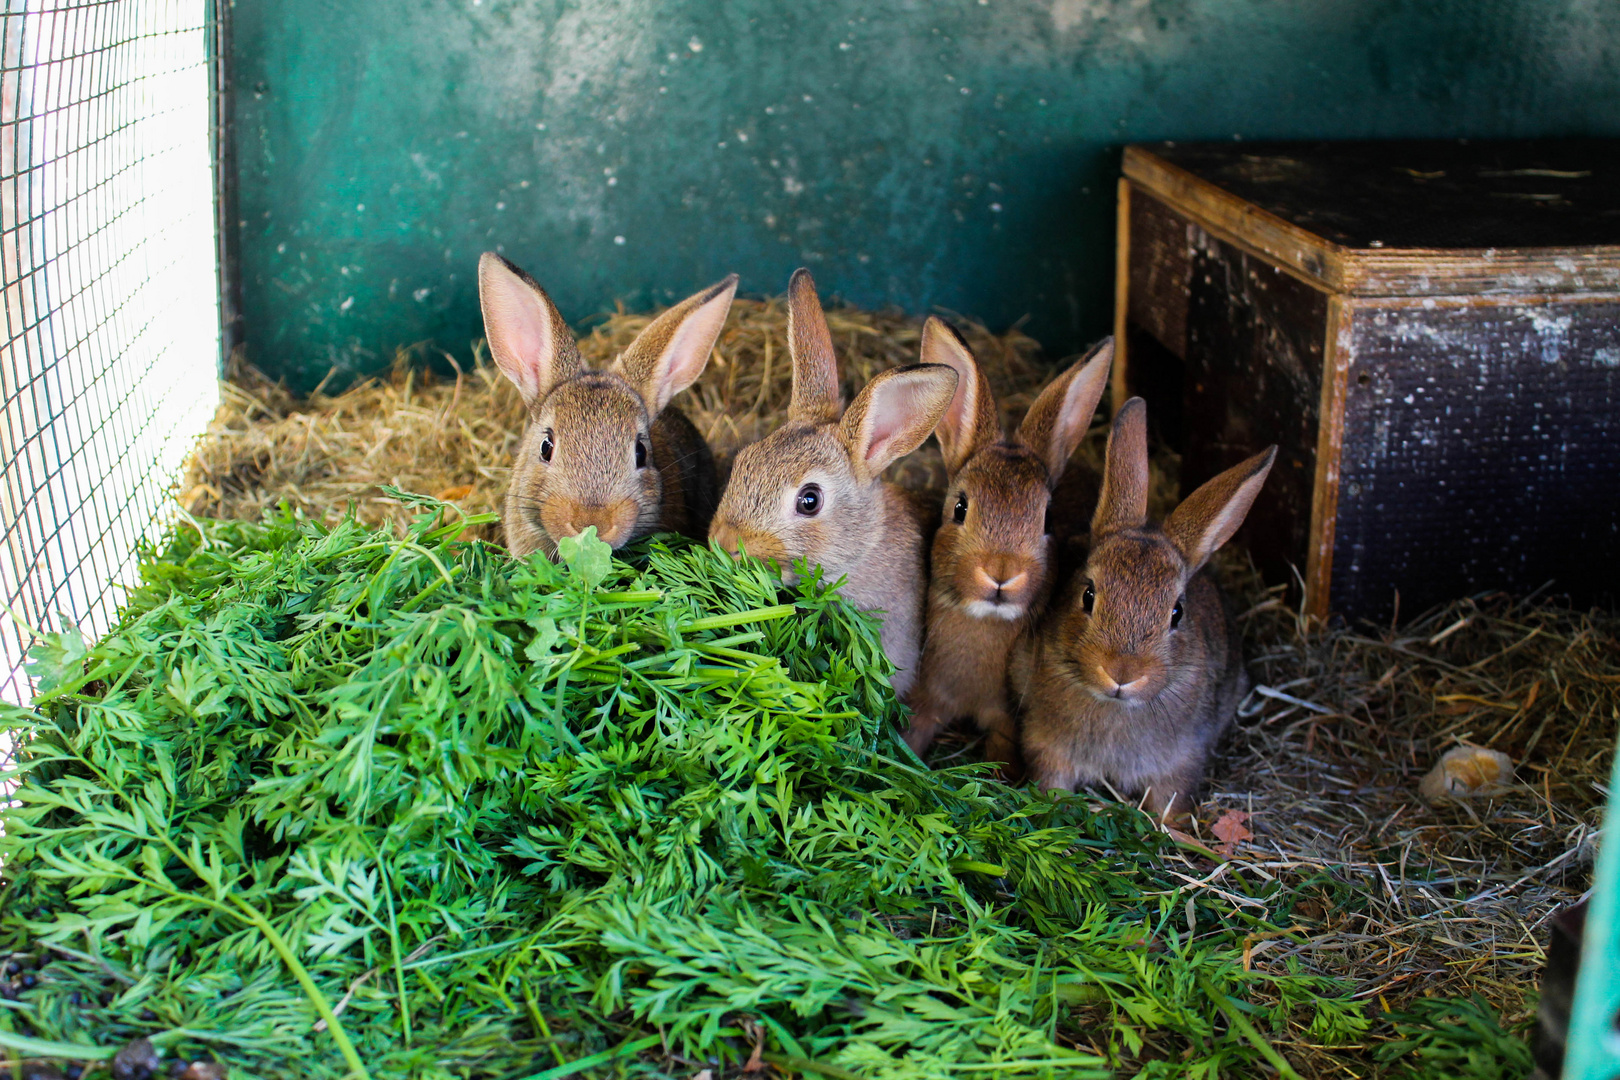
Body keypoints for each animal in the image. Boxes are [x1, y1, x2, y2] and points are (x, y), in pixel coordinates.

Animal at [1010, 396, 1276, 829]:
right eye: (1088, 595)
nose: (1122, 673)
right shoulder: (1046, 744)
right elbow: (1052, 784)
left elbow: (1171, 801)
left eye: (1177, 612)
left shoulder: (1181, 760)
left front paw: (1177, 830)